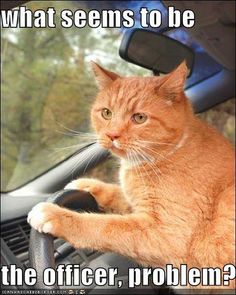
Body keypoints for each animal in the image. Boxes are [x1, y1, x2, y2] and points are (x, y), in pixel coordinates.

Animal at [27, 61, 234, 290]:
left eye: (139, 118)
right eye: (106, 113)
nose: (111, 135)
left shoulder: (166, 234)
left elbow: (105, 226)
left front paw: (55, 215)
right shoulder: (136, 205)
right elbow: (115, 193)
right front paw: (86, 185)